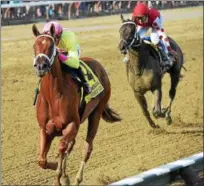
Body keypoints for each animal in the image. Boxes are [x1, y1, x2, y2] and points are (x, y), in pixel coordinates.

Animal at [32, 24, 121, 185]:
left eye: (51, 46)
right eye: (35, 45)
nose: (41, 66)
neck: (53, 96)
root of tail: (99, 65)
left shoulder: (72, 124)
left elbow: (62, 147)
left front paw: (59, 176)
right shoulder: (45, 129)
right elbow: (41, 160)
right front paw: (59, 171)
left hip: (96, 113)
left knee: (87, 147)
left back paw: (77, 179)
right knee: (71, 146)